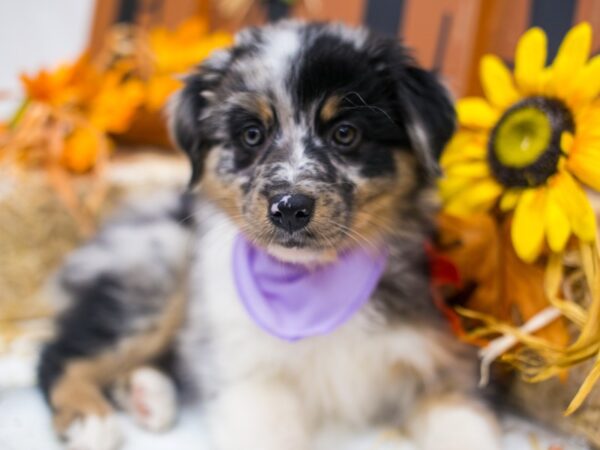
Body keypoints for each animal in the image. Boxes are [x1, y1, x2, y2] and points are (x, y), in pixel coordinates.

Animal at [38, 20, 502, 450]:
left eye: (345, 133)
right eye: (251, 135)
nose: (290, 208)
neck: (312, 281)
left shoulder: (443, 358)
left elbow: (465, 423)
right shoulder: (251, 378)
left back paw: (145, 395)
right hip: (157, 271)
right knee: (61, 352)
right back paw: (90, 420)